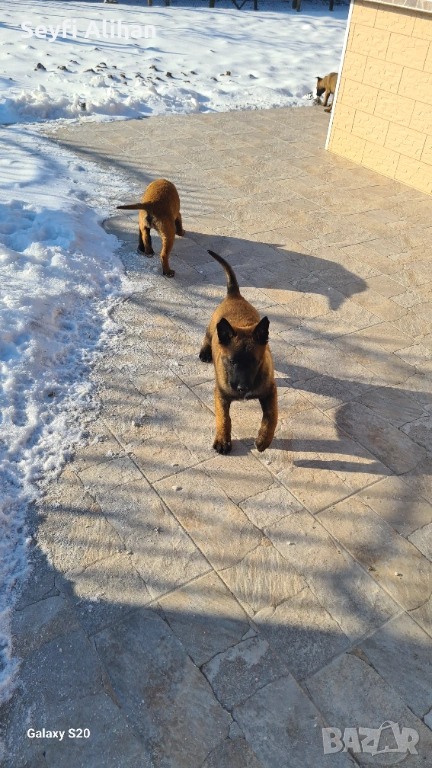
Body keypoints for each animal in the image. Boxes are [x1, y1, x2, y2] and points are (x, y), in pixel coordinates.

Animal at [199, 251, 278, 454]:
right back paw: (205, 351)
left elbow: (271, 417)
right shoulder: (220, 394)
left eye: (254, 362)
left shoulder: (270, 392)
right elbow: (223, 418)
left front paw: (263, 440)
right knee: (207, 335)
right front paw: (222, 440)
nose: (242, 388)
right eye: (231, 362)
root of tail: (234, 295)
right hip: (213, 327)